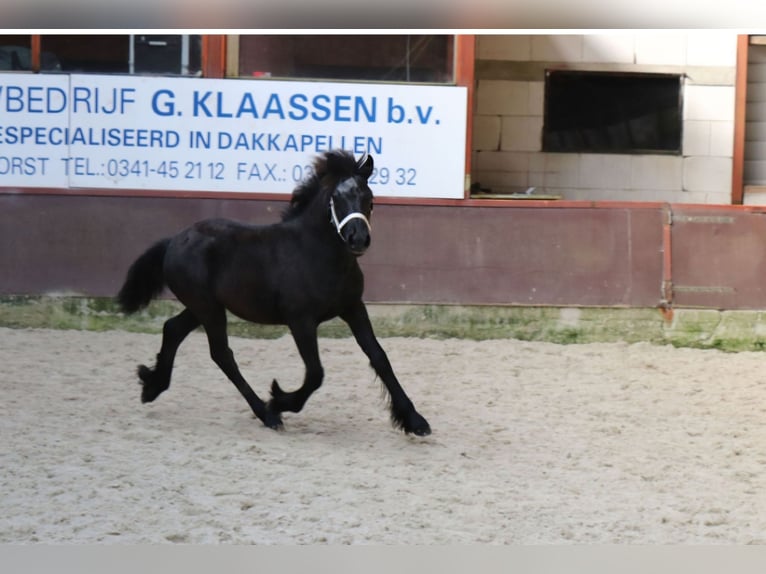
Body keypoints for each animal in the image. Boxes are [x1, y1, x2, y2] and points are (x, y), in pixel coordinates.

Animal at [118, 148, 432, 436]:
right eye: (336, 198)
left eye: (369, 199)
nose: (358, 239)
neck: (317, 253)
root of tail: (174, 240)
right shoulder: (300, 320)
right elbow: (316, 373)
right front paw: (279, 399)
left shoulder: (353, 307)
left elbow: (379, 357)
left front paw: (415, 421)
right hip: (208, 308)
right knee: (222, 353)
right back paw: (267, 413)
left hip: (203, 307)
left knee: (173, 329)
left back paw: (152, 386)